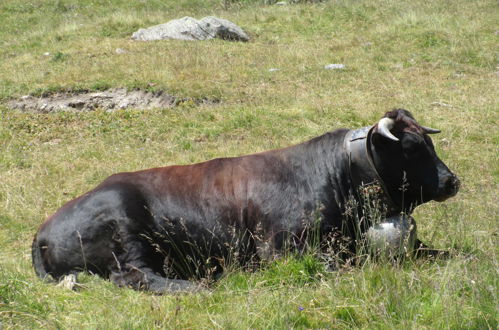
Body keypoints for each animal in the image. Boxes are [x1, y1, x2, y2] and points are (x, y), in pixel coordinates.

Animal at [31, 109, 460, 292]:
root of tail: (44, 230)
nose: (452, 181)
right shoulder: (282, 251)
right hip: (125, 231)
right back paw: (198, 286)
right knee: (134, 276)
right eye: (412, 147)